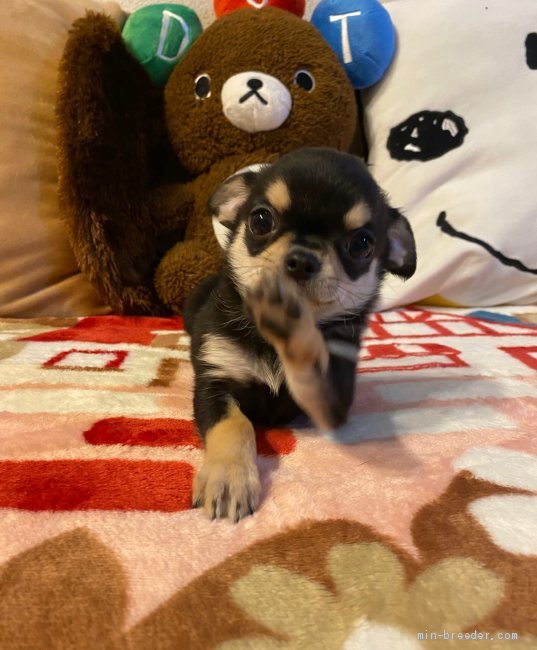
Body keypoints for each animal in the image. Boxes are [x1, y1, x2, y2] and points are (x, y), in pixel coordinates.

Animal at [184, 147, 416, 522]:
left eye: (362, 244)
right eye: (261, 220)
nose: (302, 260)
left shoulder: (335, 397)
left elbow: (312, 365)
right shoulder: (214, 382)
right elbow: (235, 425)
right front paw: (230, 478)